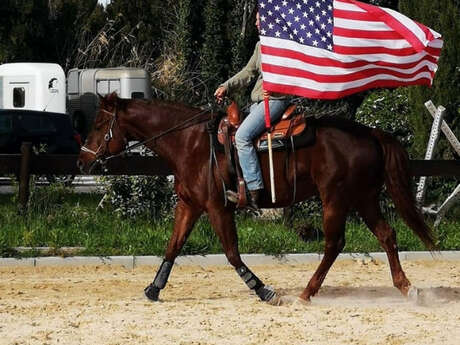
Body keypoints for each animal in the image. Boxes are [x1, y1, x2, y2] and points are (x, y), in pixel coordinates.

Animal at [77, 92, 434, 302]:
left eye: (99, 123)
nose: (82, 161)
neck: (191, 143)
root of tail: (370, 133)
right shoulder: (189, 205)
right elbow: (173, 247)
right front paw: (153, 289)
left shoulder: (218, 208)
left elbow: (232, 253)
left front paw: (264, 290)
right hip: (363, 198)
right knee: (386, 235)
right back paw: (407, 287)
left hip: (335, 198)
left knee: (334, 243)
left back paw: (307, 292)